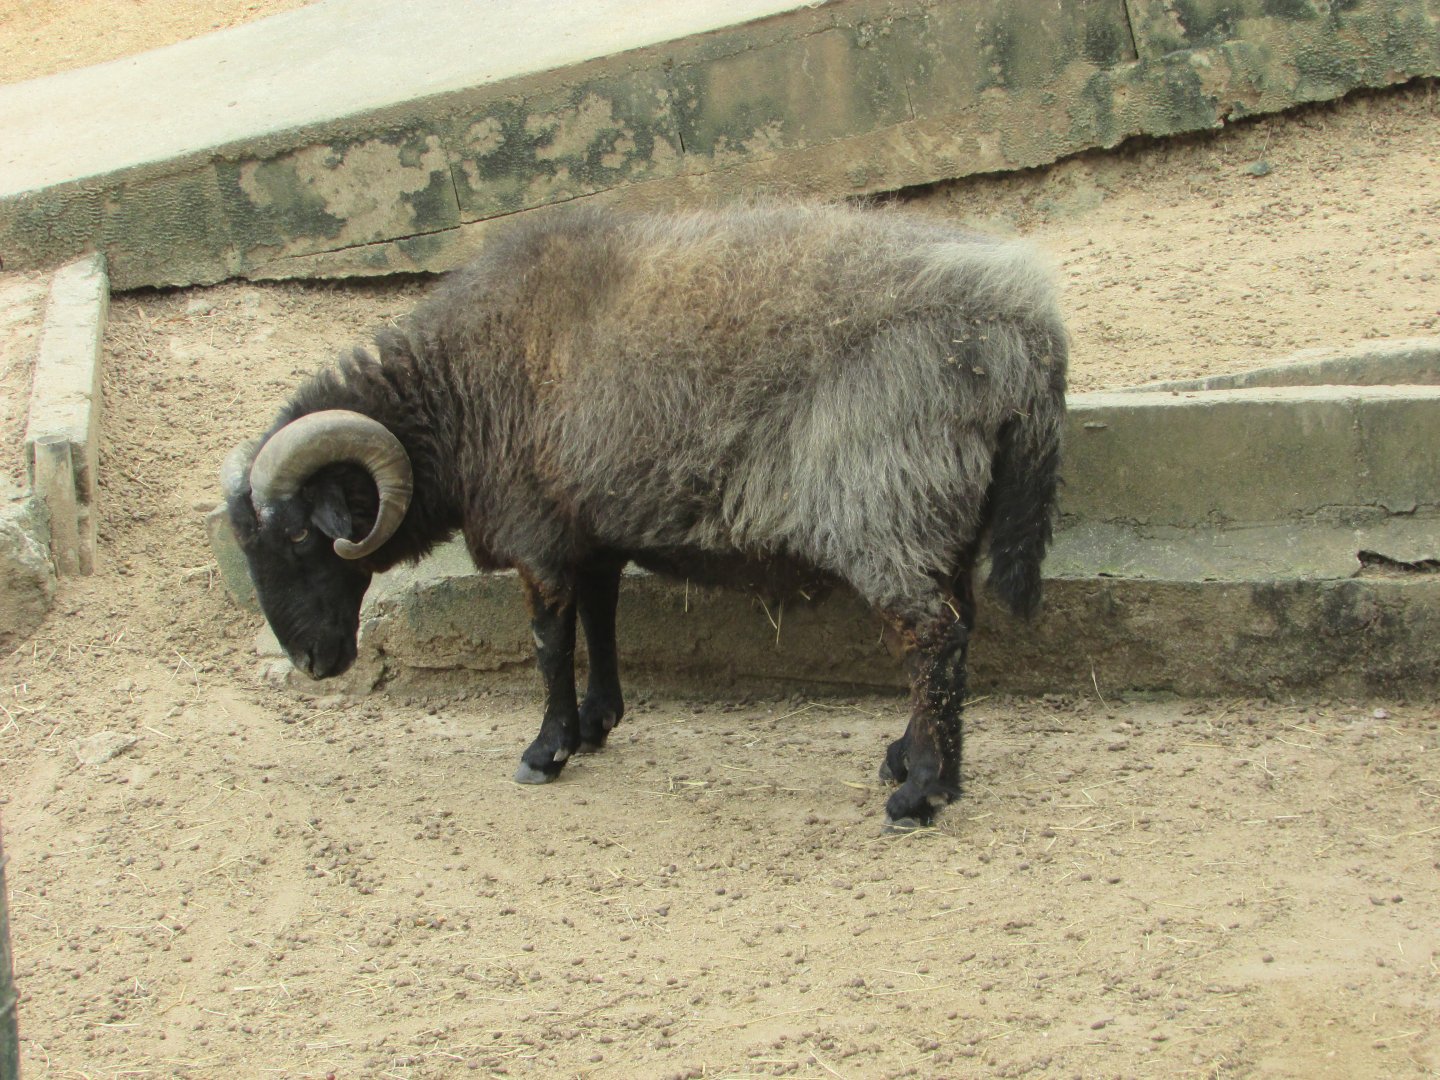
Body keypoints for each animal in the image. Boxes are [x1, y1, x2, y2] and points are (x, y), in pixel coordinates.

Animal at [222, 201, 1068, 827]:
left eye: (298, 533)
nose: (311, 664)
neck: (457, 400)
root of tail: (1026, 328)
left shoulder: (540, 536)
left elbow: (548, 642)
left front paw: (547, 749)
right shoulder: (593, 529)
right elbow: (602, 621)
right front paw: (599, 722)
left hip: (888, 503)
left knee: (931, 636)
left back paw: (917, 794)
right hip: (947, 511)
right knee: (957, 629)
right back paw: (932, 770)